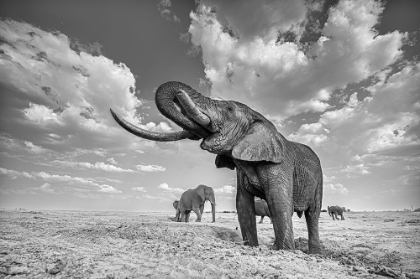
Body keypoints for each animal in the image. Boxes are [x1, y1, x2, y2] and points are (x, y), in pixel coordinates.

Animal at [110, 81, 324, 256]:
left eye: (229, 108)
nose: (179, 94)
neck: (260, 119)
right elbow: (242, 204)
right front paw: (251, 247)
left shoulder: (279, 165)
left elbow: (279, 203)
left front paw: (283, 251)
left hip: (320, 179)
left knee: (313, 214)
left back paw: (314, 253)